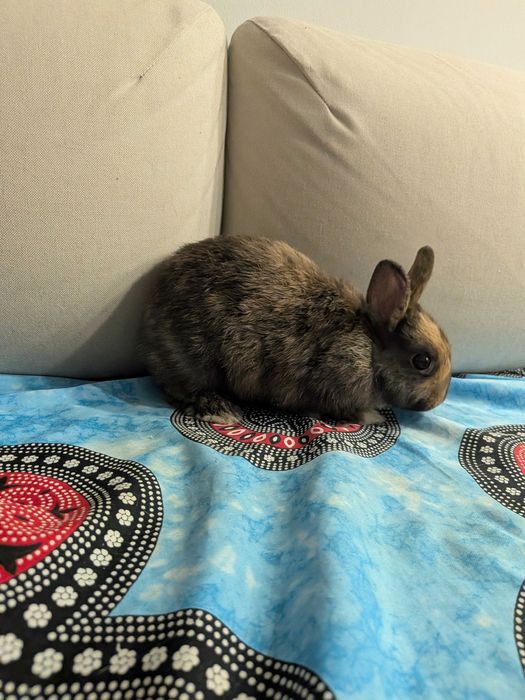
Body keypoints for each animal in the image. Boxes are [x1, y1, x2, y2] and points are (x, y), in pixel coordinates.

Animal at [142, 236, 451, 425]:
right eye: (422, 361)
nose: (437, 401)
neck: (369, 348)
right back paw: (221, 411)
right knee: (181, 388)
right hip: (195, 358)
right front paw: (372, 416)